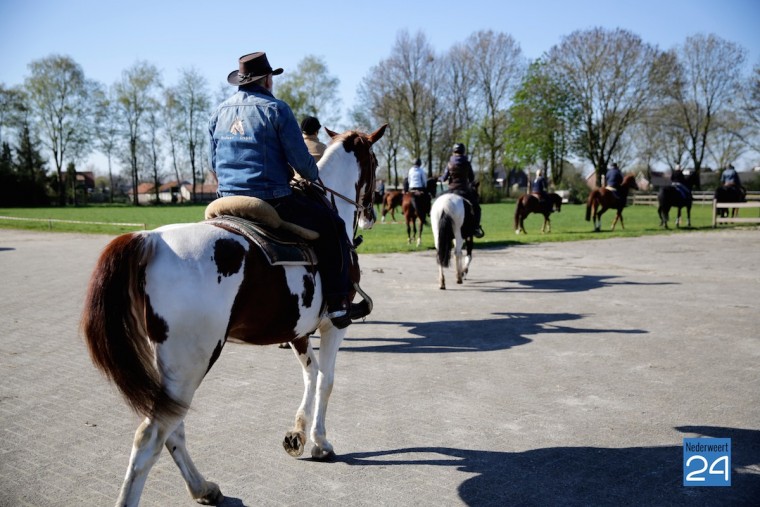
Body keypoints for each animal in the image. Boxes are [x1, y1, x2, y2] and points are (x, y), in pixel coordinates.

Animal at [81, 125, 386, 506]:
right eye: (375, 161)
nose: (372, 214)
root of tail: (149, 240)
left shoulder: (298, 332)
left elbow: (311, 375)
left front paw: (298, 435)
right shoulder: (334, 324)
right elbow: (326, 381)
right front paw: (319, 442)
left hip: (169, 366)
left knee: (172, 428)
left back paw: (203, 487)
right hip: (192, 362)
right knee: (151, 437)